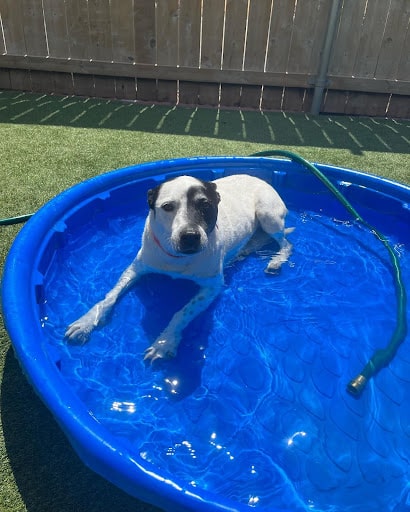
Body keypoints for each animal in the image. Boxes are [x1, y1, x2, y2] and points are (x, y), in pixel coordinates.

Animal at [65, 174, 292, 362]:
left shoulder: (212, 286)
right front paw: (86, 321)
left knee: (286, 243)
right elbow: (110, 296)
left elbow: (181, 312)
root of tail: (256, 176)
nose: (190, 236)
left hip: (268, 215)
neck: (177, 259)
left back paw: (276, 260)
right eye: (167, 206)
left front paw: (164, 342)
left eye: (205, 205)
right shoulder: (137, 267)